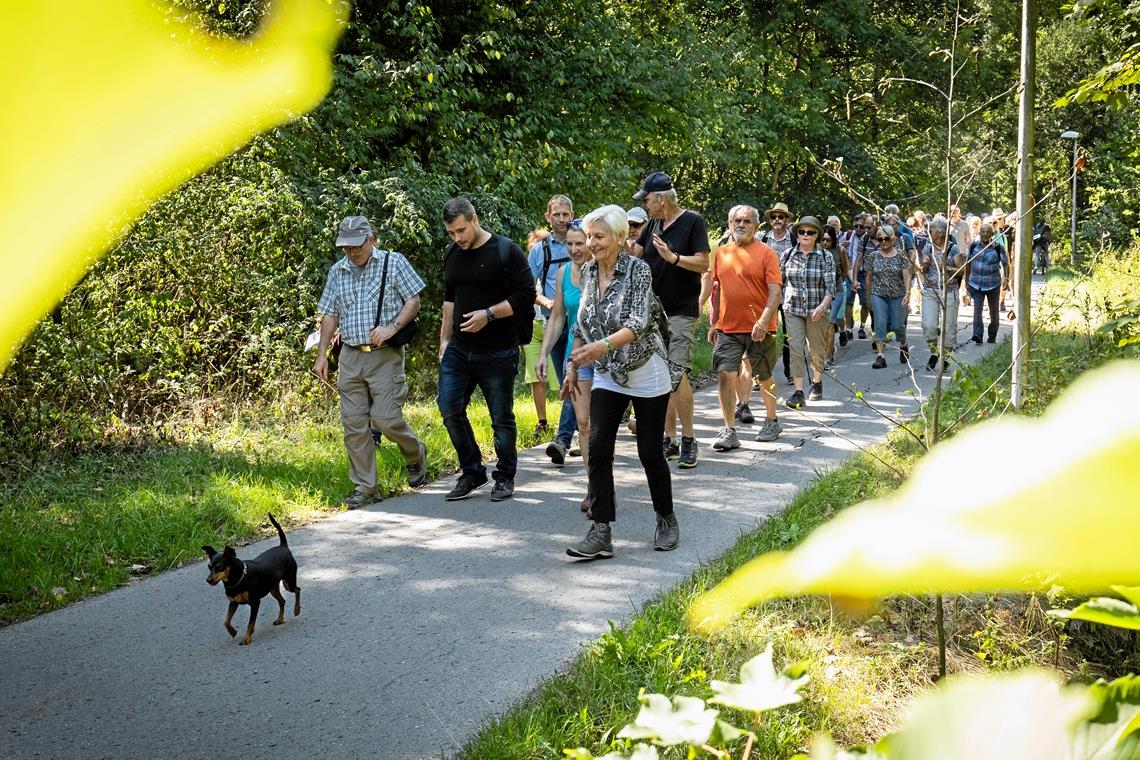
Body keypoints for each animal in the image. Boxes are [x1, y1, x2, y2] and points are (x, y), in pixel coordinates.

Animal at [202, 515, 298, 647]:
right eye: (209, 567)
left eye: (220, 567)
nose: (208, 580)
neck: (237, 580)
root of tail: (283, 546)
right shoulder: (233, 603)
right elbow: (226, 621)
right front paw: (232, 632)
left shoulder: (255, 603)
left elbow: (250, 623)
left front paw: (246, 638)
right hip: (272, 588)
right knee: (282, 601)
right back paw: (280, 619)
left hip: (288, 583)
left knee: (297, 590)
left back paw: (297, 610)